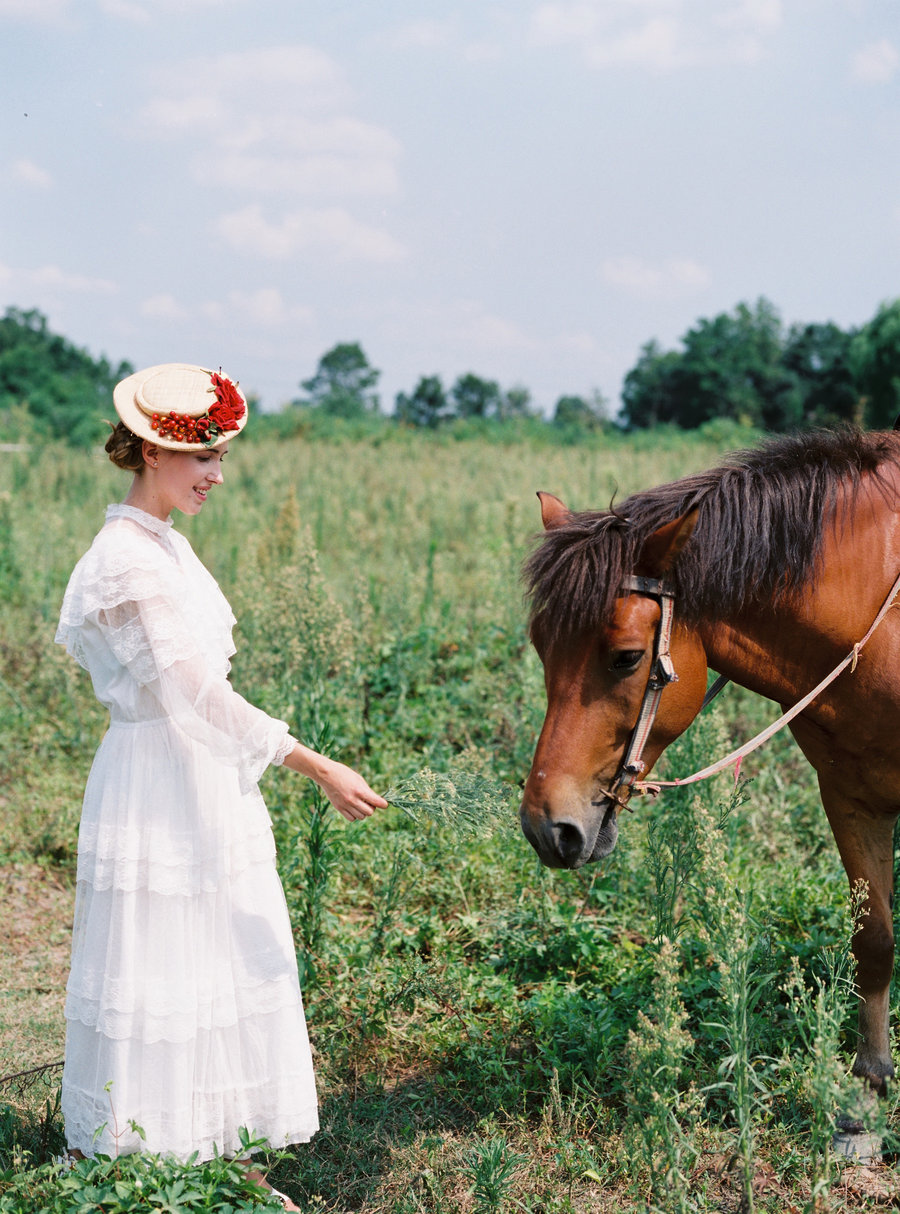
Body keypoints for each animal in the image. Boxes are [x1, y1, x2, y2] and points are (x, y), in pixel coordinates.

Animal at [514, 432, 898, 1097]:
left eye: (626, 657)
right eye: (541, 648)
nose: (546, 826)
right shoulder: (849, 794)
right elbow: (873, 938)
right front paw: (869, 1082)